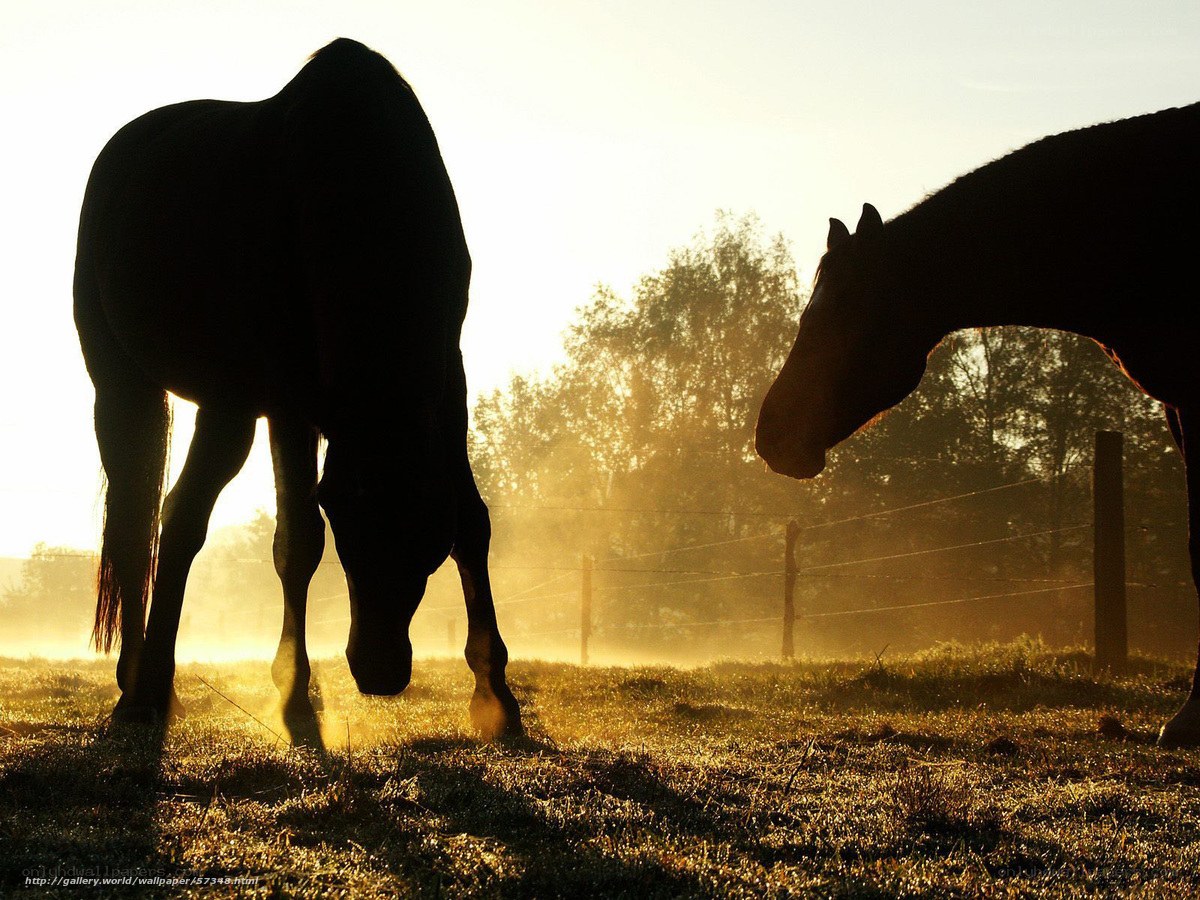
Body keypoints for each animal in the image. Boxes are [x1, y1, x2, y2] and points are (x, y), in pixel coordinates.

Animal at [73, 38, 522, 739]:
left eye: (425, 535)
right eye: (346, 516)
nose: (380, 671)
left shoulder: (444, 383)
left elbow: (471, 523)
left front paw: (495, 693)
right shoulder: (271, 401)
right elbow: (280, 536)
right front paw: (283, 694)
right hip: (125, 386)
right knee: (139, 524)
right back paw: (138, 687)